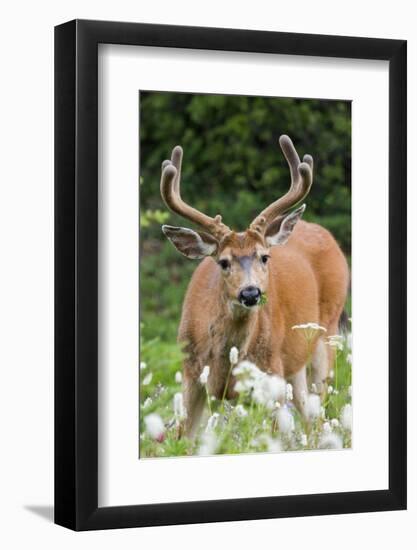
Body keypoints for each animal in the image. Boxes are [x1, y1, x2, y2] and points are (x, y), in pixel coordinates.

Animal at [159, 136, 348, 438]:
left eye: (264, 257)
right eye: (223, 262)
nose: (250, 293)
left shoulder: (271, 375)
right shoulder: (191, 373)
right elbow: (182, 438)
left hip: (325, 335)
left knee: (317, 417)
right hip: (294, 367)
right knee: (308, 416)